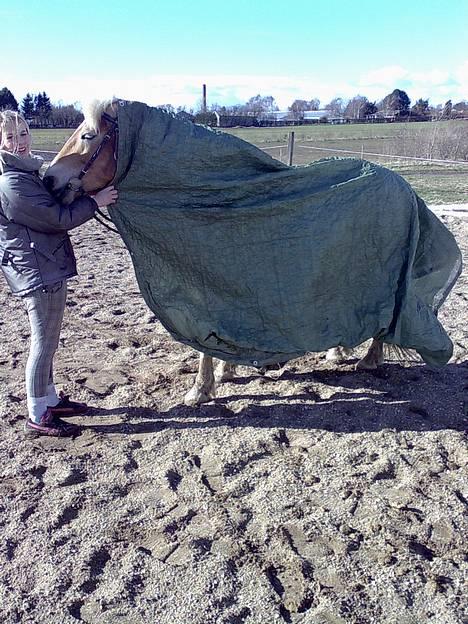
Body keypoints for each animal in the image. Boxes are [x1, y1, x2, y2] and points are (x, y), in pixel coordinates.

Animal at [43, 100, 458, 408]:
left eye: (88, 135)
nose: (48, 178)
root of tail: (405, 187)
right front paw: (228, 372)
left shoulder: (205, 292)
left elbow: (204, 343)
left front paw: (201, 389)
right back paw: (337, 352)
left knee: (391, 315)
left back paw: (368, 360)